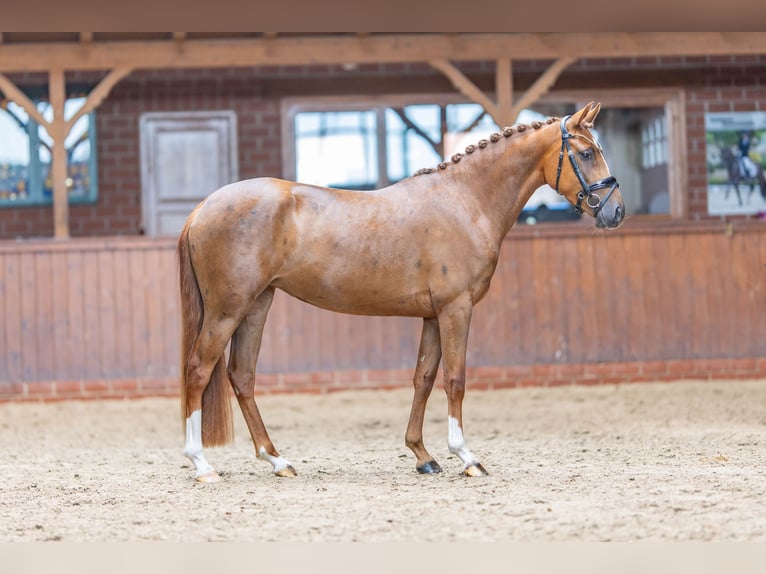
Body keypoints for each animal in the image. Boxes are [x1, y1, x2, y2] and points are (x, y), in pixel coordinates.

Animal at [178, 102, 624, 482]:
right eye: (586, 153)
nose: (615, 211)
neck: (465, 200)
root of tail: (202, 208)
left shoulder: (432, 314)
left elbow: (423, 378)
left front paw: (423, 455)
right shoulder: (456, 309)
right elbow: (455, 379)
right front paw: (467, 457)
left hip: (257, 304)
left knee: (242, 375)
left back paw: (277, 460)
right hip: (227, 309)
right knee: (198, 370)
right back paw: (202, 465)